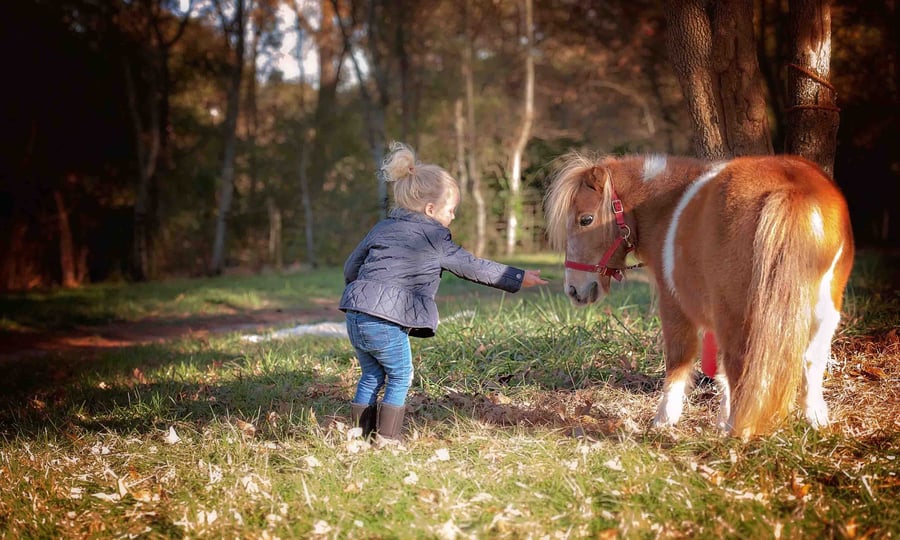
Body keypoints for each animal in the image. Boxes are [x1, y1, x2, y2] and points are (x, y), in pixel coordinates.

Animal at [544, 153, 856, 438]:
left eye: (586, 219)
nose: (574, 290)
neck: (667, 207)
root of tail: (791, 187)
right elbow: (720, 374)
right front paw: (720, 420)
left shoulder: (674, 305)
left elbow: (679, 361)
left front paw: (664, 420)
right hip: (824, 311)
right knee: (810, 361)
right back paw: (815, 422)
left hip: (736, 312)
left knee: (741, 364)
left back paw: (738, 432)